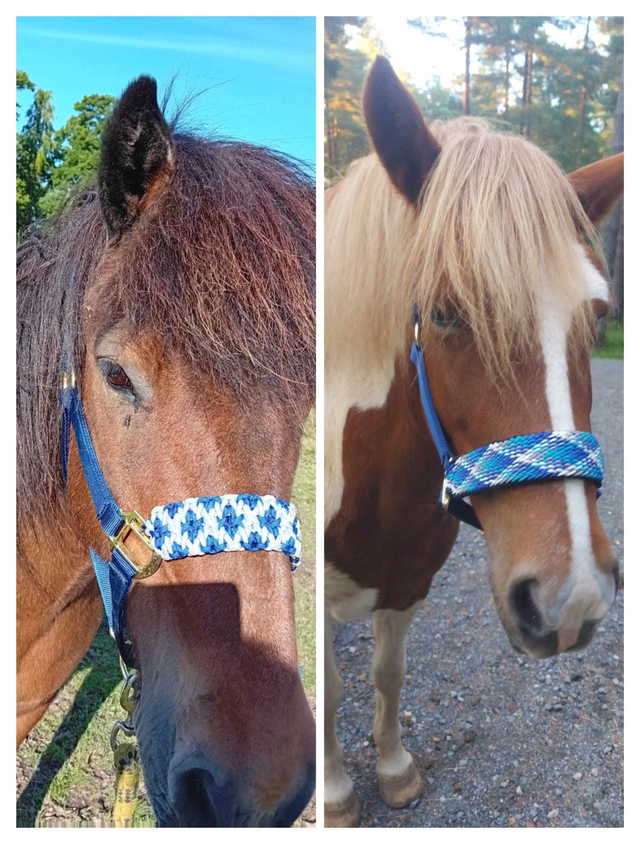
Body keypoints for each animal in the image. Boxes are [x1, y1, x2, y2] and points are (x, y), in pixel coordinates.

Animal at [324, 56, 623, 827]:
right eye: (445, 313)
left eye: (598, 316)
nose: (572, 596)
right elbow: (330, 685)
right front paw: (334, 793)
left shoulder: (408, 584)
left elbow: (387, 671)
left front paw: (394, 769)